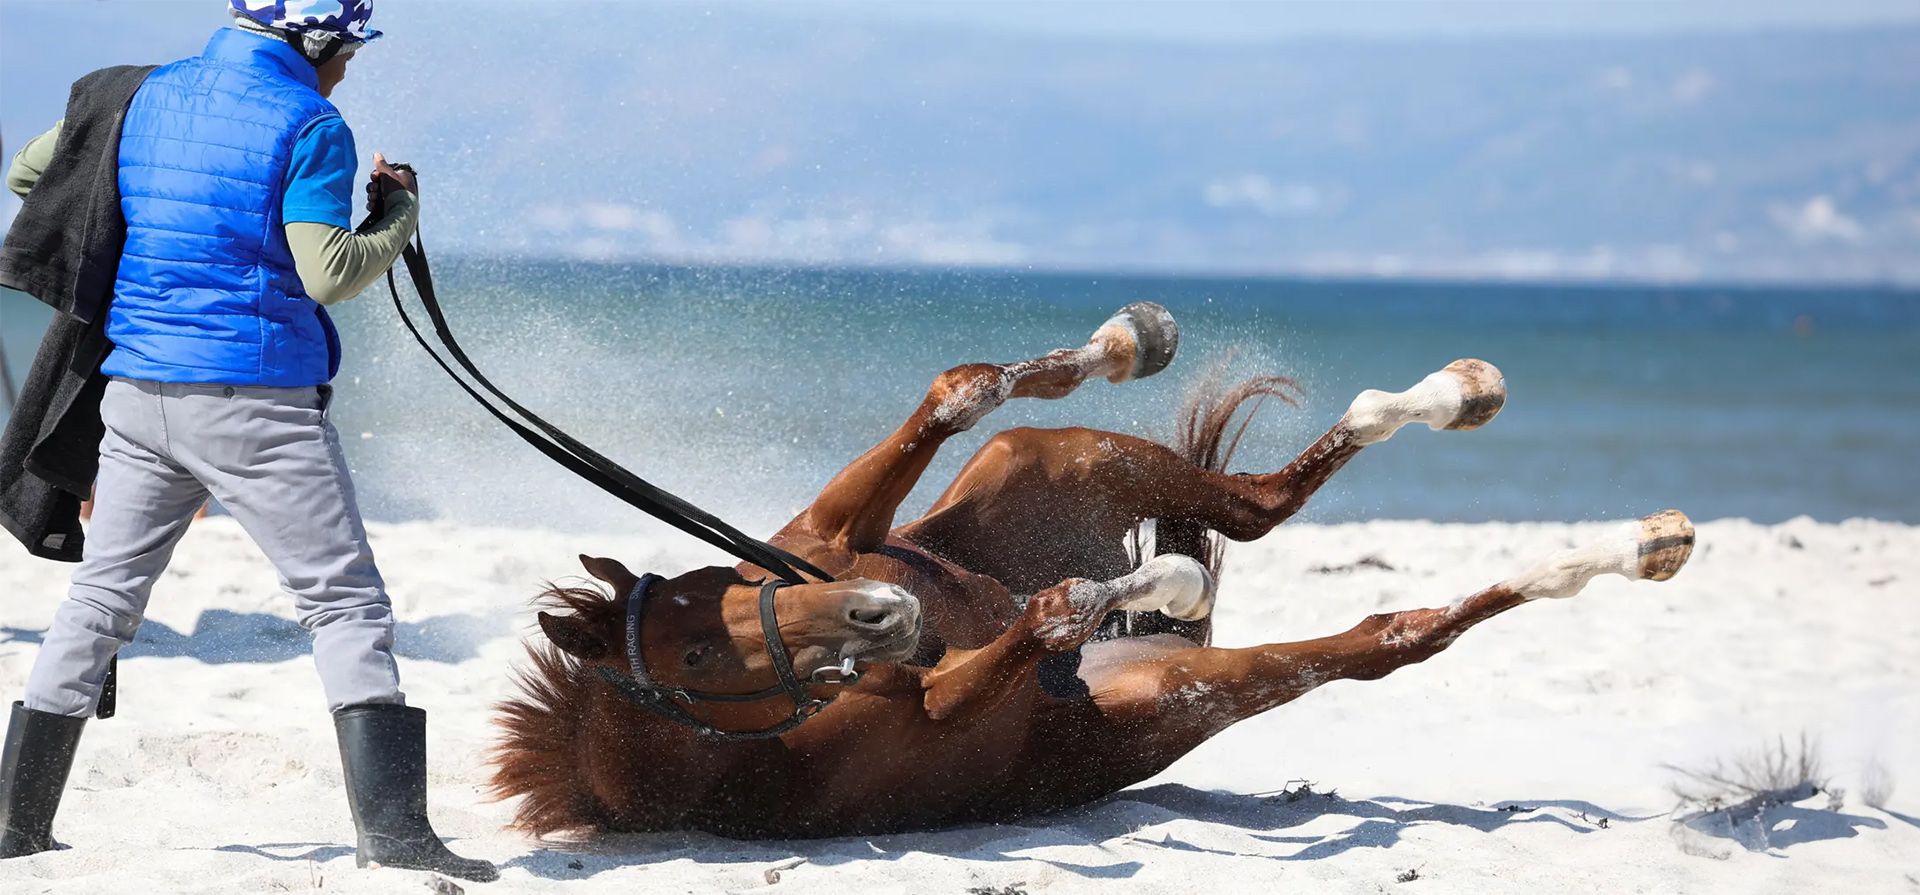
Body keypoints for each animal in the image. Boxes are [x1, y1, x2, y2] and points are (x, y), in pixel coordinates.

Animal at [490, 302, 1695, 839]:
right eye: (691, 655)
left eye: (734, 590)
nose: (883, 612)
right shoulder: (940, 698)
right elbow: (1059, 608)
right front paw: (1158, 585)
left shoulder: (831, 531)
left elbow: (957, 391)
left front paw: (1125, 344)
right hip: (1197, 689)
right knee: (1383, 630)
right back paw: (1635, 545)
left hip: (1047, 461)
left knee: (1255, 503)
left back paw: (1457, 392)